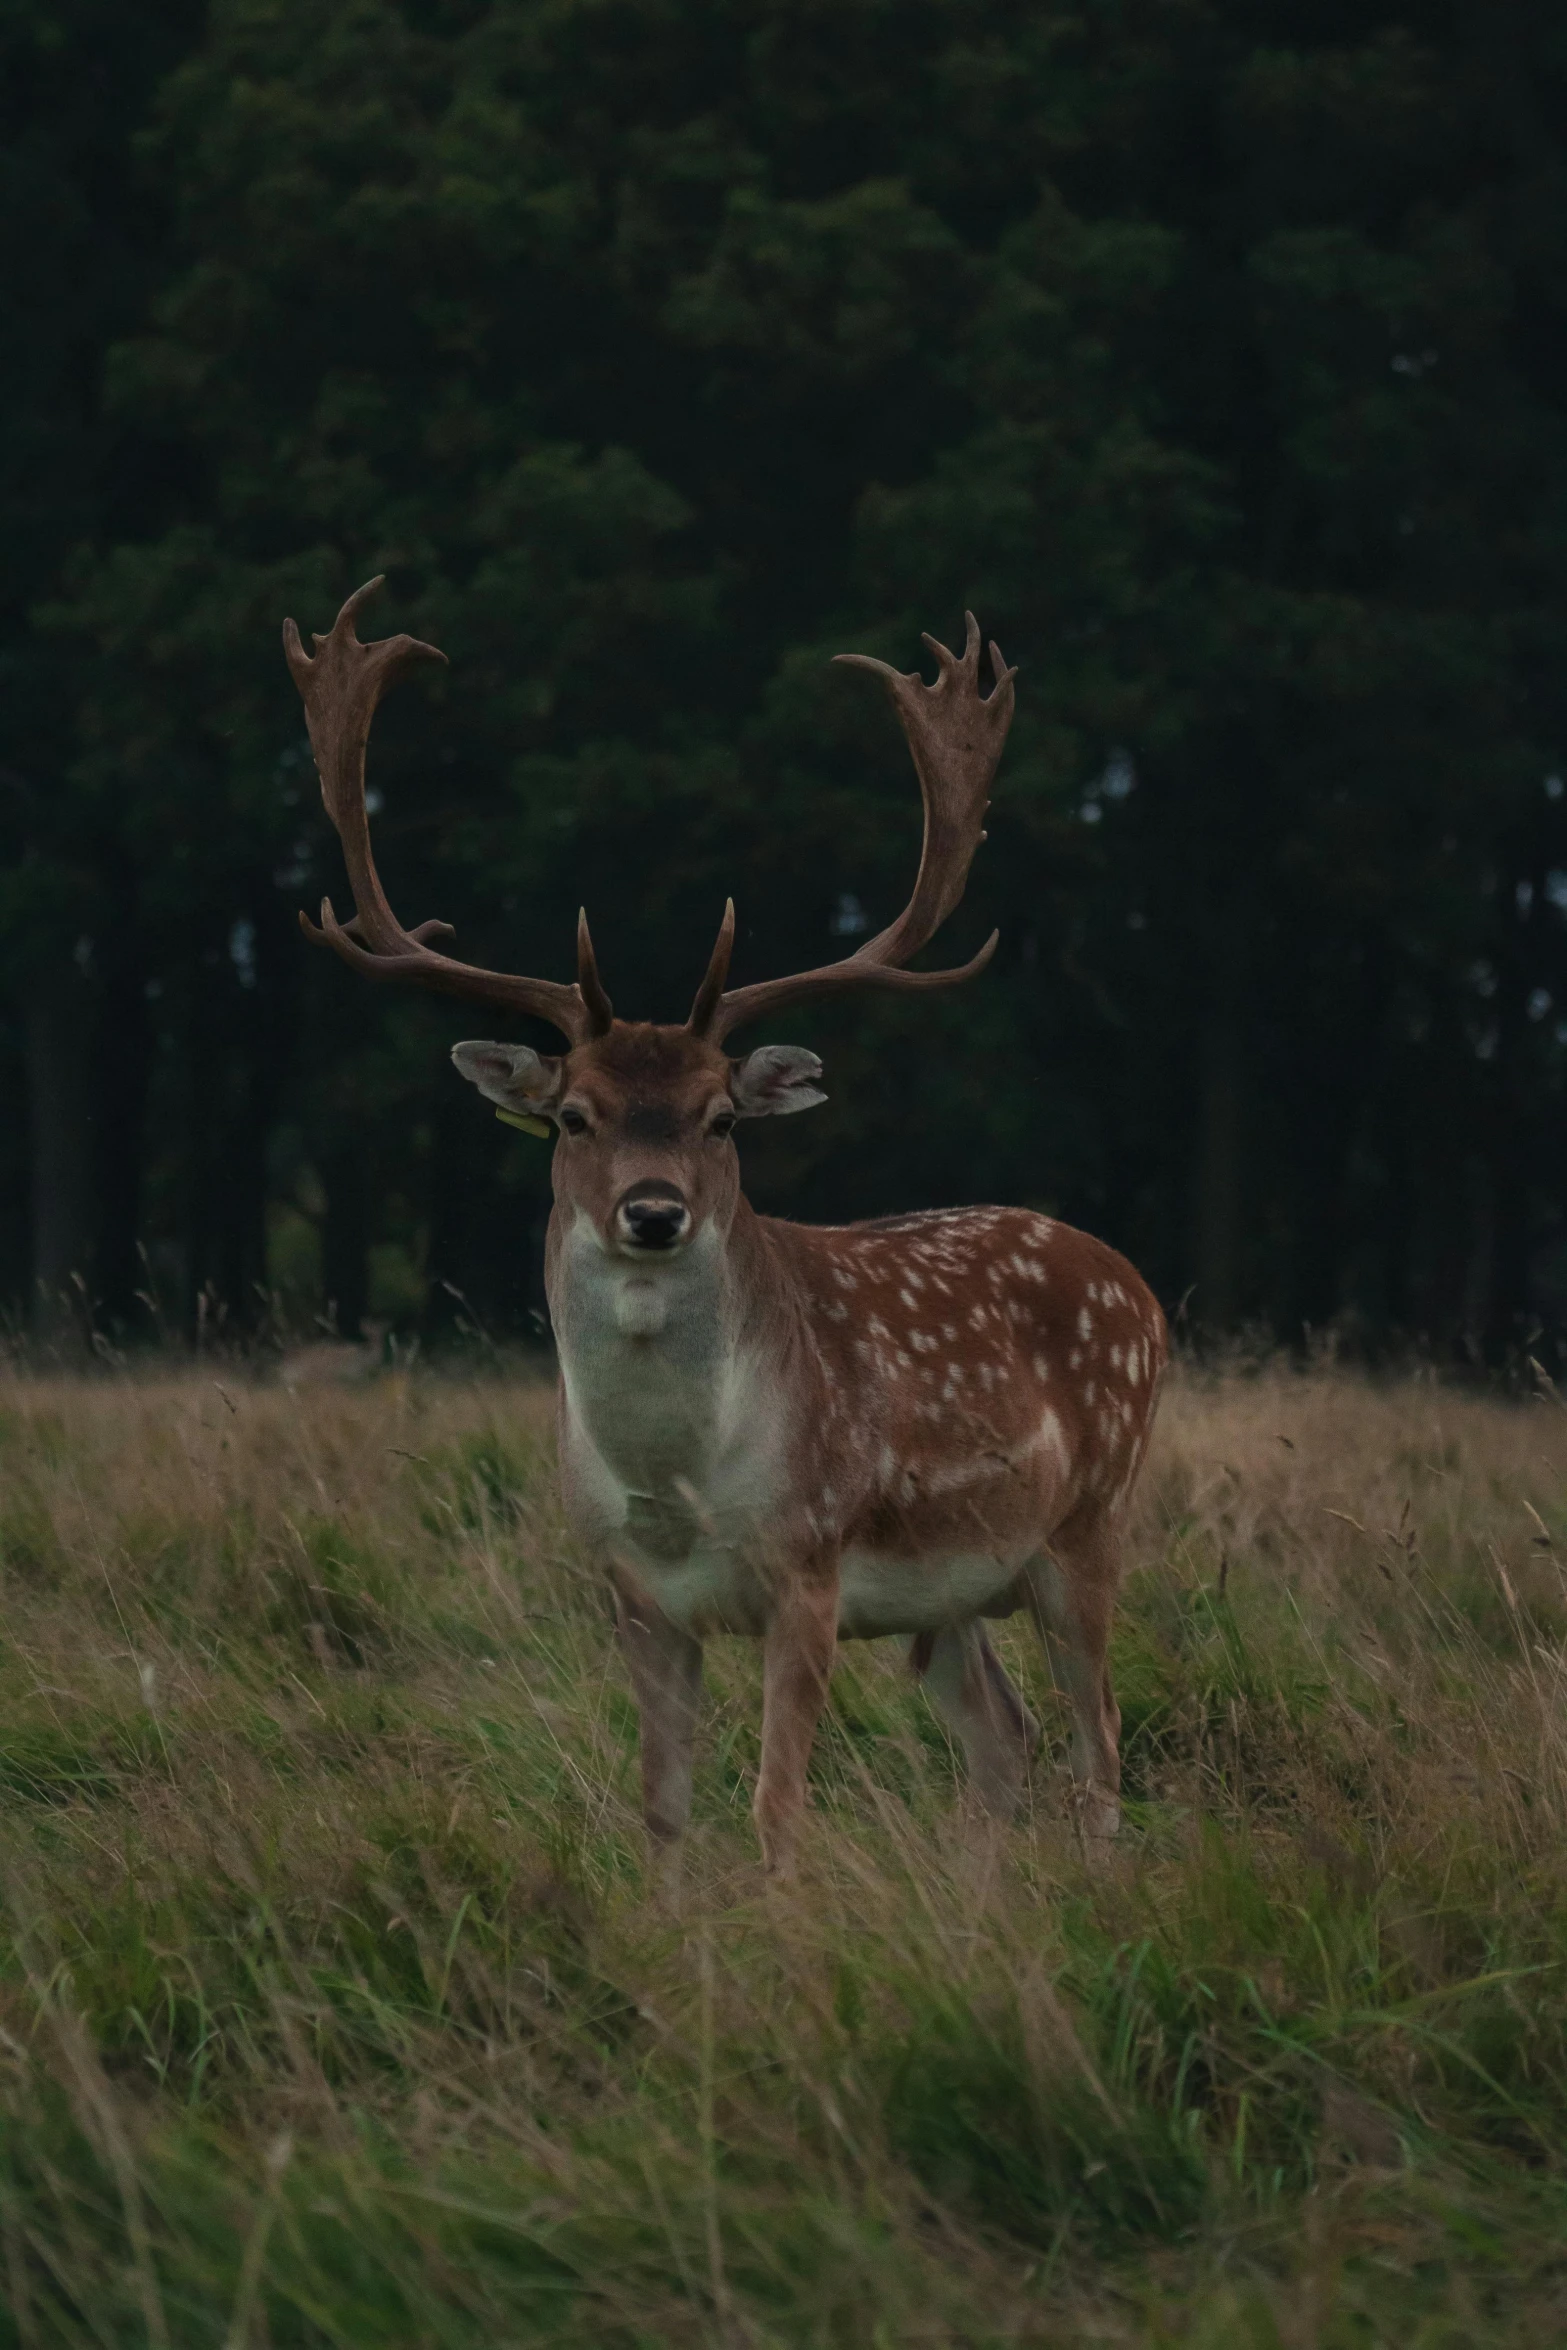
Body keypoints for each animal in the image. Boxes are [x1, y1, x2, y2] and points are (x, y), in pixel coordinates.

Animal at [285, 573, 1165, 1870]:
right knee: (1001, 1739)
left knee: (1098, 1747)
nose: (652, 1211)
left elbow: (772, 1806)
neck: (677, 1487)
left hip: (1091, 1520)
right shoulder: (631, 1593)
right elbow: (662, 1809)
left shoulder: (808, 1563)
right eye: (574, 1116)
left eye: (720, 1117)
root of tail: (1135, 1284)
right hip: (950, 1592)